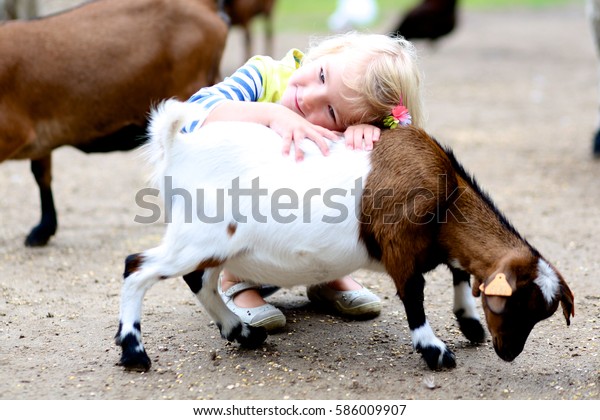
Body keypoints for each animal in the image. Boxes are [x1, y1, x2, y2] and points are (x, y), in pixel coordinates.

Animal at [116, 99, 572, 370]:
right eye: (518, 306)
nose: (509, 353)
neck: (448, 196)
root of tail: (178, 145)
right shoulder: (400, 247)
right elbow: (414, 297)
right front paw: (435, 351)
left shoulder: (435, 246)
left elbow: (459, 270)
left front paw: (470, 324)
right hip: (198, 237)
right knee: (137, 267)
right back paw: (135, 352)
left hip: (215, 244)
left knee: (201, 280)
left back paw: (242, 333)